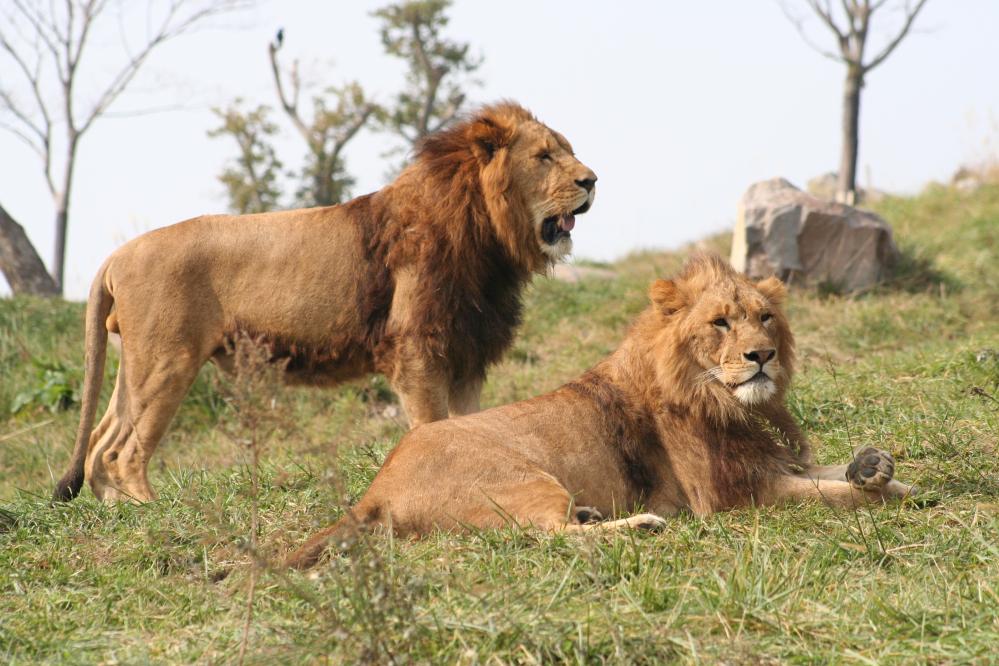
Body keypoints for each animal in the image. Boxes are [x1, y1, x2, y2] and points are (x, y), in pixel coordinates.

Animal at [54, 101, 596, 500]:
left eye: (567, 151)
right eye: (544, 157)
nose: (592, 180)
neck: (489, 239)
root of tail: (116, 255)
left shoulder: (466, 354)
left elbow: (471, 424)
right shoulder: (418, 352)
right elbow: (431, 424)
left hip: (137, 364)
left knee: (100, 440)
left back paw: (116, 512)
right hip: (169, 361)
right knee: (121, 451)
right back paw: (153, 511)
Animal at [288, 254, 916, 564]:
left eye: (765, 318)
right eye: (720, 323)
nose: (761, 355)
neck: (736, 403)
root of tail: (374, 490)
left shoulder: (773, 461)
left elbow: (832, 472)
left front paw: (876, 468)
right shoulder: (732, 496)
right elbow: (831, 495)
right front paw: (894, 493)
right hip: (524, 478)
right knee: (542, 536)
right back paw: (641, 526)